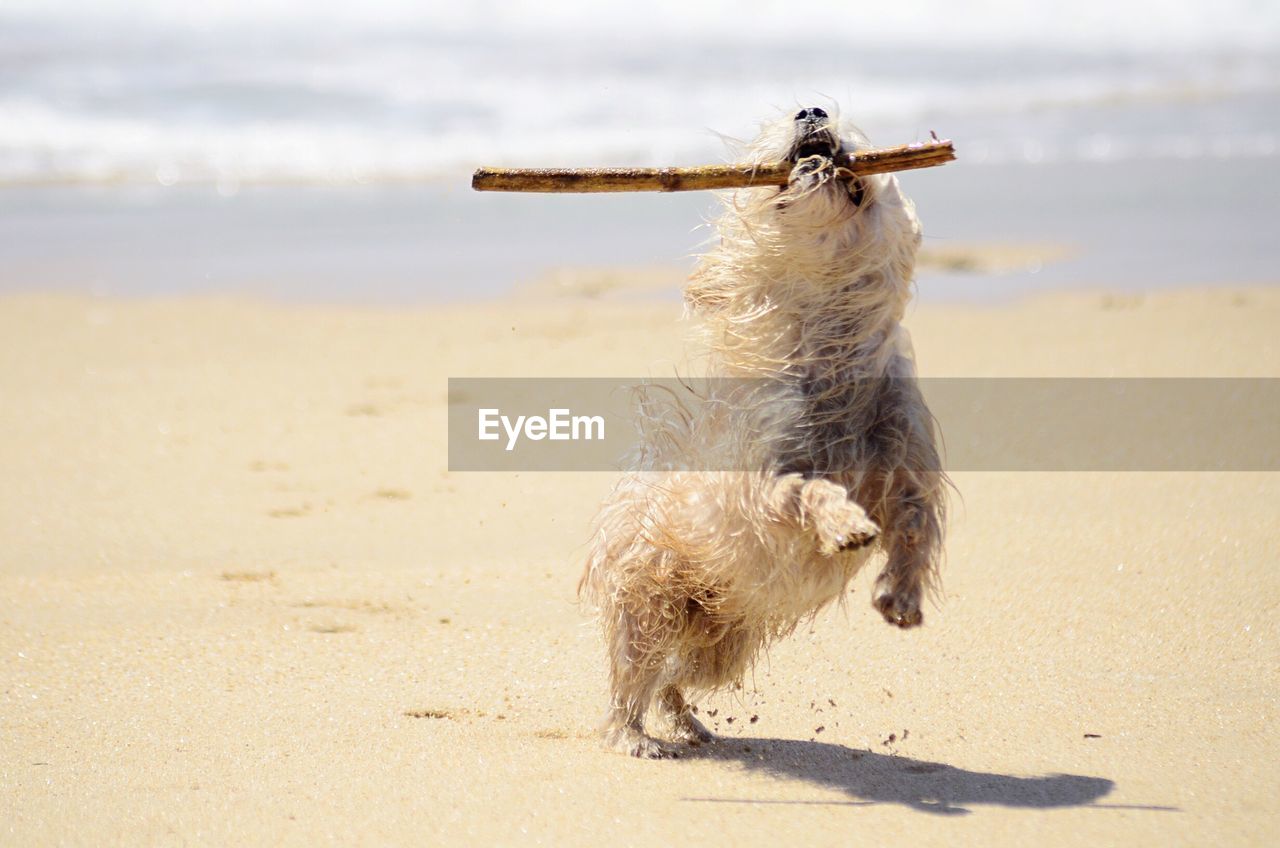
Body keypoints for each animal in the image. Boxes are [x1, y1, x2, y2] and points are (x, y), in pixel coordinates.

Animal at [576, 106, 947, 763]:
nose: (812, 110)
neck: (831, 359)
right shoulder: (762, 479)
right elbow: (807, 490)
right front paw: (844, 523)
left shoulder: (905, 450)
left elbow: (914, 520)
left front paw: (900, 596)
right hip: (648, 605)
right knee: (631, 680)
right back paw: (635, 738)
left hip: (724, 640)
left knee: (673, 679)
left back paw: (692, 726)